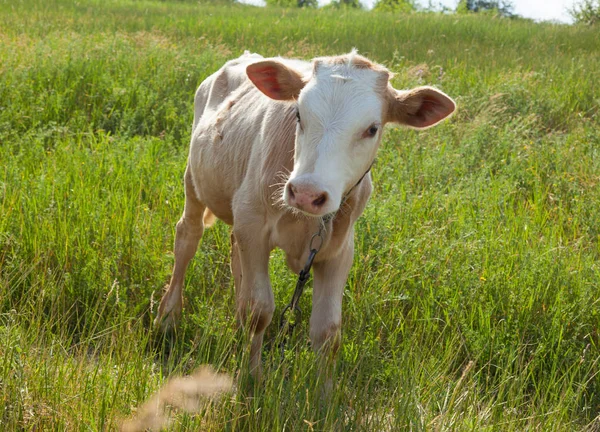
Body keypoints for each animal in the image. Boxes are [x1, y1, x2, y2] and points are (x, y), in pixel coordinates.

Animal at [155, 50, 454, 378]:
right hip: (194, 180)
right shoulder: (253, 225)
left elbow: (327, 332)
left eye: (372, 128)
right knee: (188, 237)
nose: (307, 194)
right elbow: (259, 310)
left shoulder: (339, 250)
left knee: (235, 258)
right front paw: (251, 377)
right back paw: (167, 317)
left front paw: (324, 391)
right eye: (299, 114)